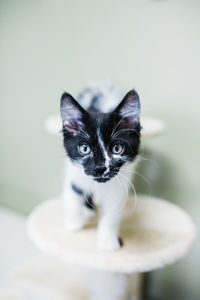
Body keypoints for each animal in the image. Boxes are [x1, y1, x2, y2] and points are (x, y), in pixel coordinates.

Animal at [60, 82, 141, 251]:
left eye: (117, 148)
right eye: (84, 149)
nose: (100, 168)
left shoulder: (120, 186)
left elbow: (111, 214)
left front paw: (108, 240)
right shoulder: (72, 170)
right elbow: (73, 193)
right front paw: (73, 223)